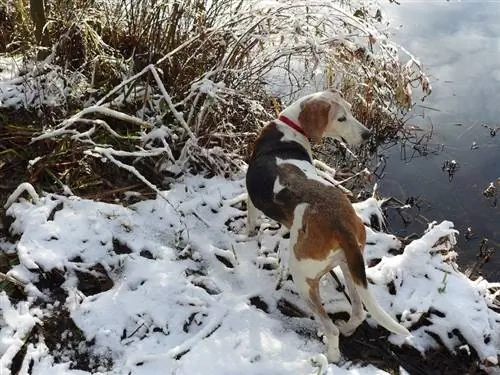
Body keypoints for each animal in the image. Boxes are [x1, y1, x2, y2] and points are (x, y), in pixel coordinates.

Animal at [243, 89, 410, 362]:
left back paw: (330, 355)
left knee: (331, 329)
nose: (367, 135)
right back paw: (349, 328)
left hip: (302, 277)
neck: (289, 129)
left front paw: (246, 235)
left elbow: (249, 222)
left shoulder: (251, 200)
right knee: (359, 312)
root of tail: (339, 222)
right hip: (349, 265)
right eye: (343, 116)